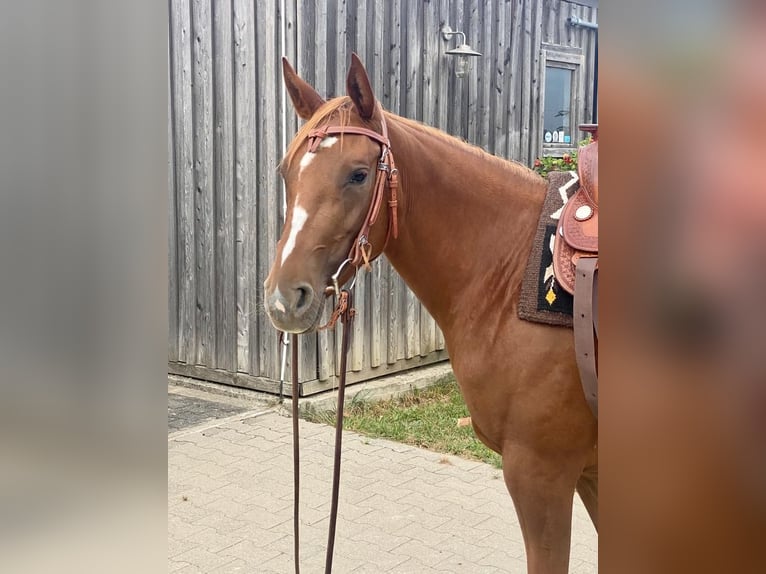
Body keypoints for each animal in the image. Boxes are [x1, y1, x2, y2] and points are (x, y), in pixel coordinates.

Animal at [268, 53, 604, 572]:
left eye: (359, 174)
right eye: (287, 173)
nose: (286, 299)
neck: (511, 270)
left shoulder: (542, 473)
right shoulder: (591, 475)